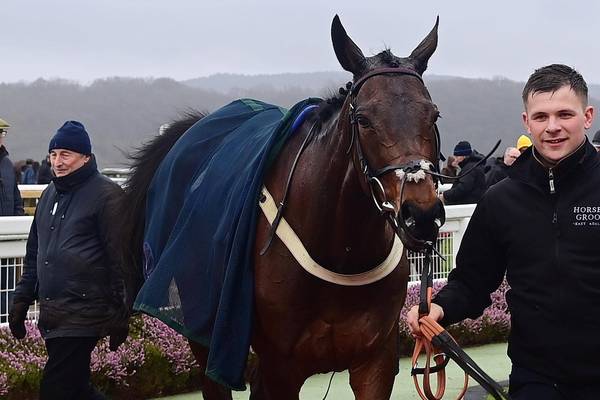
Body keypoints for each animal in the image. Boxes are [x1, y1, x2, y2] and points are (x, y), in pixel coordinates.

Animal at [118, 14, 446, 400]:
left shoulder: (375, 360)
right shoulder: (282, 366)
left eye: (434, 115)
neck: (342, 252)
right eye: (364, 119)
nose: (421, 215)